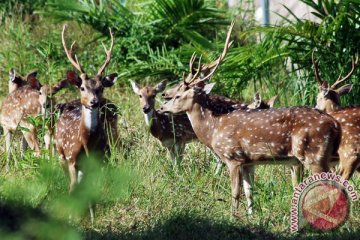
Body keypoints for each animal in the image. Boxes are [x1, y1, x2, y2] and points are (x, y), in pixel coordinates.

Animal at [56, 24, 118, 223]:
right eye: (82, 87)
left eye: (101, 87)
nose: (93, 102)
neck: (86, 143)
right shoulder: (71, 159)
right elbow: (73, 188)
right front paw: (71, 218)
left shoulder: (101, 159)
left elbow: (92, 189)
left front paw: (92, 218)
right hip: (61, 154)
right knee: (71, 184)